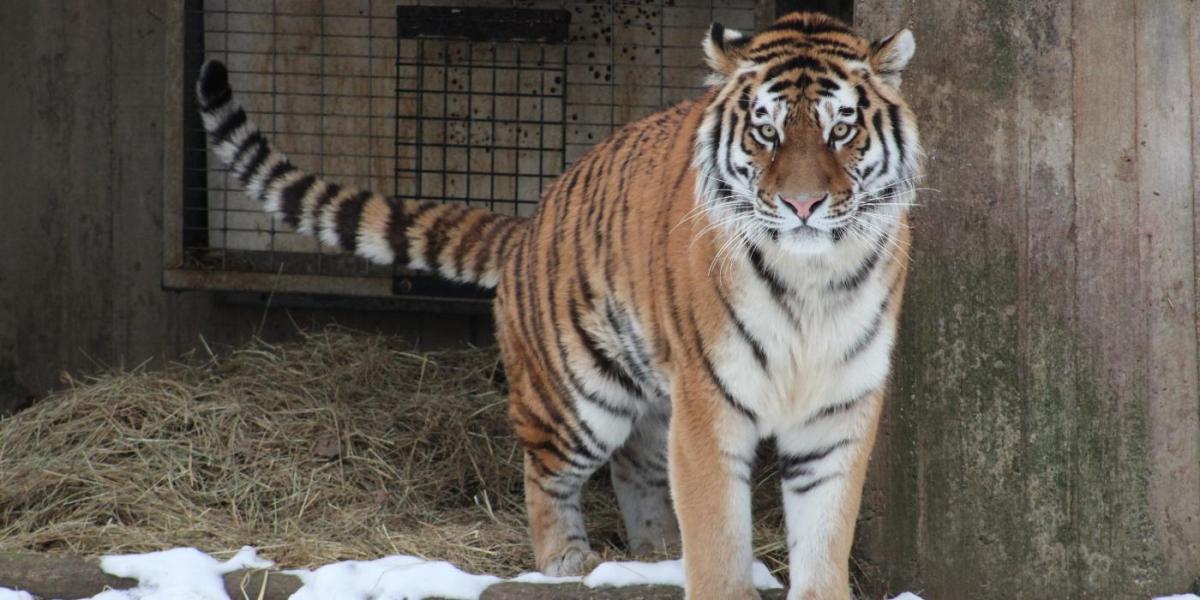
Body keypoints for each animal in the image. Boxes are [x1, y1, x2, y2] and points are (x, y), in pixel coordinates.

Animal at [195, 11, 919, 600]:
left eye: (842, 129)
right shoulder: (710, 404)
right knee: (543, 473)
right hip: (579, 394)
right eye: (766, 131)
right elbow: (718, 543)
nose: (803, 204)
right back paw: (569, 560)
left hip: (654, 390)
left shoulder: (838, 410)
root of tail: (529, 222)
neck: (812, 278)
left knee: (635, 465)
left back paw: (655, 554)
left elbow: (824, 541)